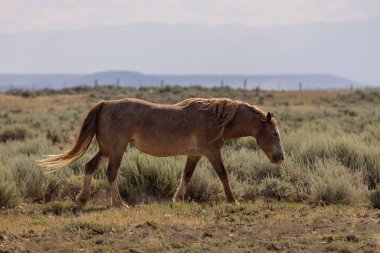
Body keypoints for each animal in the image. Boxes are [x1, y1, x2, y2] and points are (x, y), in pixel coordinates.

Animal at [38, 98, 284, 207]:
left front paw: (177, 198)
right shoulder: (212, 152)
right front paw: (233, 200)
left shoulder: (195, 154)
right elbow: (223, 175)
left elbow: (186, 176)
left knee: (90, 166)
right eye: (274, 133)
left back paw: (83, 198)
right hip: (116, 149)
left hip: (106, 149)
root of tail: (106, 104)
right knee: (110, 173)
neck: (217, 118)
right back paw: (119, 203)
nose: (280, 158)